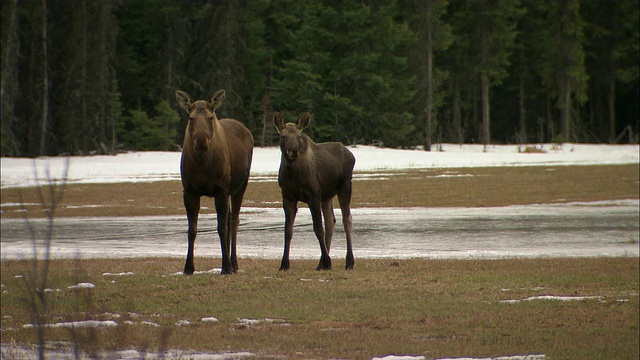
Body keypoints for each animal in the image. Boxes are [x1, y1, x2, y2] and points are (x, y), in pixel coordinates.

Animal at [175, 90, 255, 276]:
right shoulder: (189, 191)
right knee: (230, 218)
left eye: (210, 117)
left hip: (240, 185)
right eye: (190, 117)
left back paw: (233, 263)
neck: (202, 163)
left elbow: (221, 228)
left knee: (233, 221)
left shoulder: (221, 189)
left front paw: (225, 266)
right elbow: (192, 230)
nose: (201, 140)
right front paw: (188, 267)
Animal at [274, 112, 358, 270]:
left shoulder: (313, 196)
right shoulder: (287, 197)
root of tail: (351, 155)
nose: (294, 151)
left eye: (299, 136)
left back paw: (349, 261)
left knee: (347, 219)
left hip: (345, 187)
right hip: (326, 196)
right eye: (283, 136)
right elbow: (288, 231)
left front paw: (328, 261)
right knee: (331, 221)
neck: (293, 173)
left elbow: (318, 228)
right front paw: (284, 264)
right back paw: (320, 264)